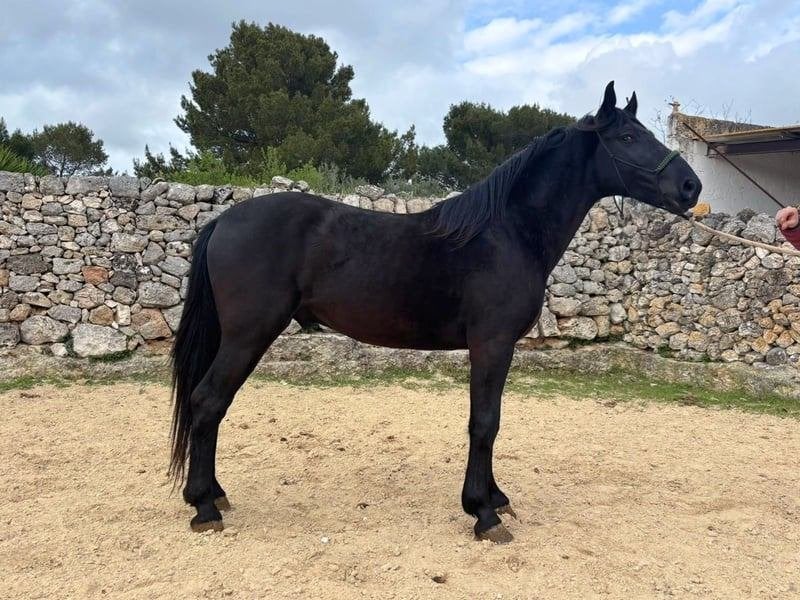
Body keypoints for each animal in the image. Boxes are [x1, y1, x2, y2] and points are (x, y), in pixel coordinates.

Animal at [169, 81, 701, 543]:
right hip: (248, 334)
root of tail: (222, 221)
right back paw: (204, 506)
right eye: (628, 137)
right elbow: (485, 422)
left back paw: (215, 494)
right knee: (207, 401)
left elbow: (490, 420)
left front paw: (496, 497)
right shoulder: (491, 344)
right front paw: (483, 512)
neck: (507, 231)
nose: (691, 188)